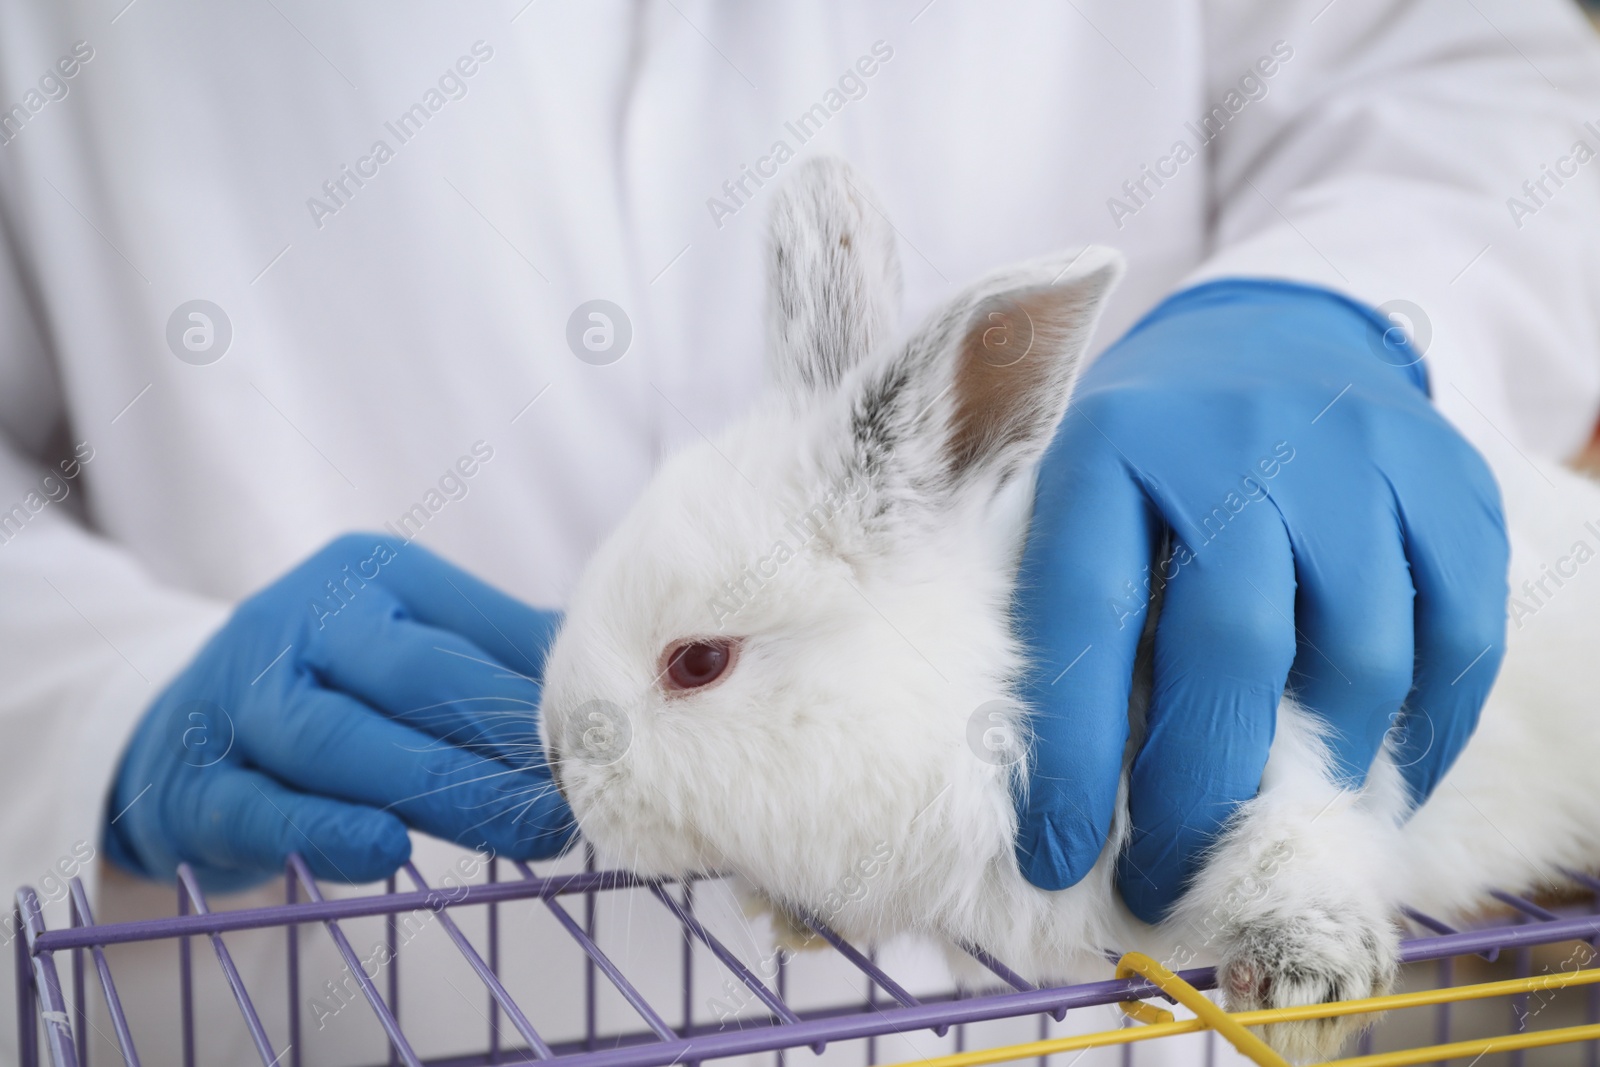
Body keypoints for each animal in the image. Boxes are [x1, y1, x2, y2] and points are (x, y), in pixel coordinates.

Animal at [537, 154, 1600, 1062]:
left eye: (698, 662)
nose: (557, 757)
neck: (967, 691)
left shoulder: (1259, 759)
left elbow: (1298, 850)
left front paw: (1306, 985)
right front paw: (789, 915)